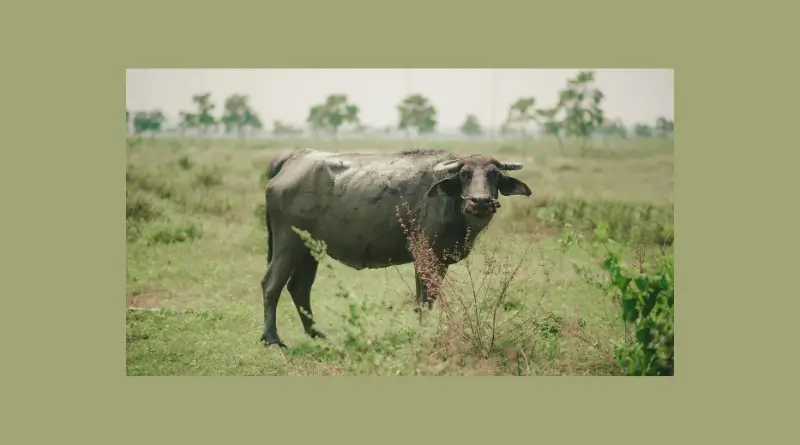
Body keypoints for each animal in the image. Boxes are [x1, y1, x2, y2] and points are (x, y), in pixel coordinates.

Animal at [260, 147, 532, 346]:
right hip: (288, 244)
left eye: (493, 175)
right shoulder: (424, 255)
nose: (480, 201)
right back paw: (272, 339)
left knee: (299, 288)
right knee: (271, 285)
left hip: (309, 250)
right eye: (464, 174)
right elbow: (423, 301)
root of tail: (291, 160)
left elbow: (430, 298)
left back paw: (316, 334)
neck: (450, 201)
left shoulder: (439, 261)